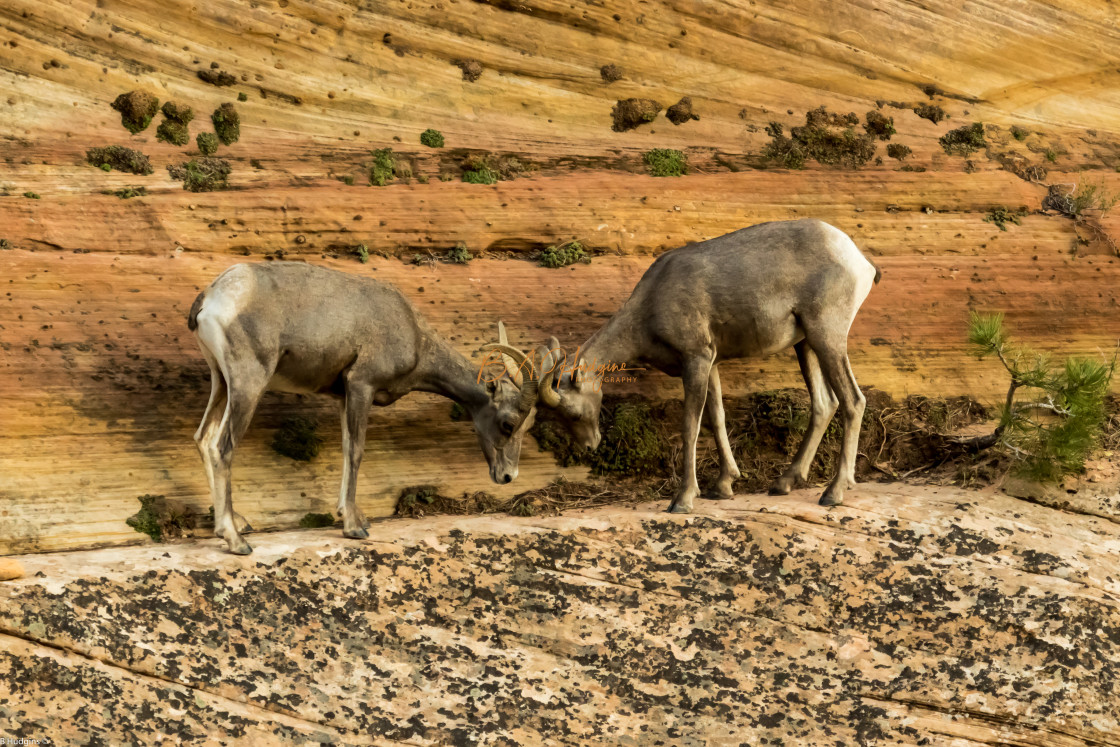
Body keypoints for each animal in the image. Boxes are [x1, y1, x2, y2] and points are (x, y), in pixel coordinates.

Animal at [188, 263, 542, 555]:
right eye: (508, 423)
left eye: (527, 427)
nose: (508, 476)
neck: (414, 334)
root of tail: (214, 294)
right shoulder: (362, 385)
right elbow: (356, 450)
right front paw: (354, 528)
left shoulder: (344, 396)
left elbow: (346, 447)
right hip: (249, 384)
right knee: (222, 446)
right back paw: (236, 541)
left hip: (221, 382)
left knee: (203, 438)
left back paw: (235, 524)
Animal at [512, 217, 873, 515]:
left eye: (572, 413)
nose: (590, 445)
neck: (650, 307)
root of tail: (859, 261)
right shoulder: (711, 364)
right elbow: (716, 418)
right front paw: (723, 487)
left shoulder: (696, 360)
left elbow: (690, 425)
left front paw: (683, 499)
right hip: (805, 344)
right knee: (824, 403)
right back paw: (783, 483)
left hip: (826, 336)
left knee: (853, 400)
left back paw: (833, 492)